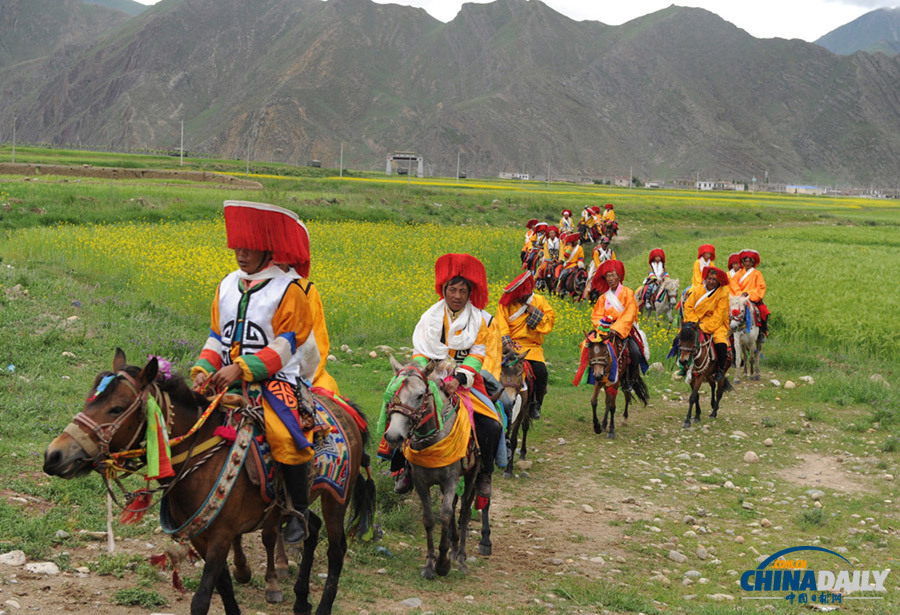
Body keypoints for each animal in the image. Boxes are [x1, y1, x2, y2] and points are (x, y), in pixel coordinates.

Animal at [41, 352, 372, 615]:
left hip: (336, 499)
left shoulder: (222, 535)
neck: (199, 457)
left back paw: (322, 605)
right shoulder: (202, 537)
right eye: (90, 399)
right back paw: (301, 600)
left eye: (117, 407)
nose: (54, 456)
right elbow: (223, 587)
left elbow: (201, 599)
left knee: (336, 549)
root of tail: (346, 411)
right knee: (310, 528)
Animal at [382, 356, 492, 576]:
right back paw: (454, 547)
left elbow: (446, 514)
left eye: (419, 395)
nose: (394, 436)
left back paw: (460, 556)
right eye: (392, 393)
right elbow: (429, 519)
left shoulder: (451, 480)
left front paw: (443, 563)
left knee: (464, 511)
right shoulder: (420, 482)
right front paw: (430, 563)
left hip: (472, 474)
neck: (432, 441)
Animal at [496, 348, 532, 478]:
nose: (510, 400)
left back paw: (522, 454)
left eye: (519, 373)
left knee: (525, 427)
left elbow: (513, 440)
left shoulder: (519, 413)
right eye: (501, 373)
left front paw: (508, 470)